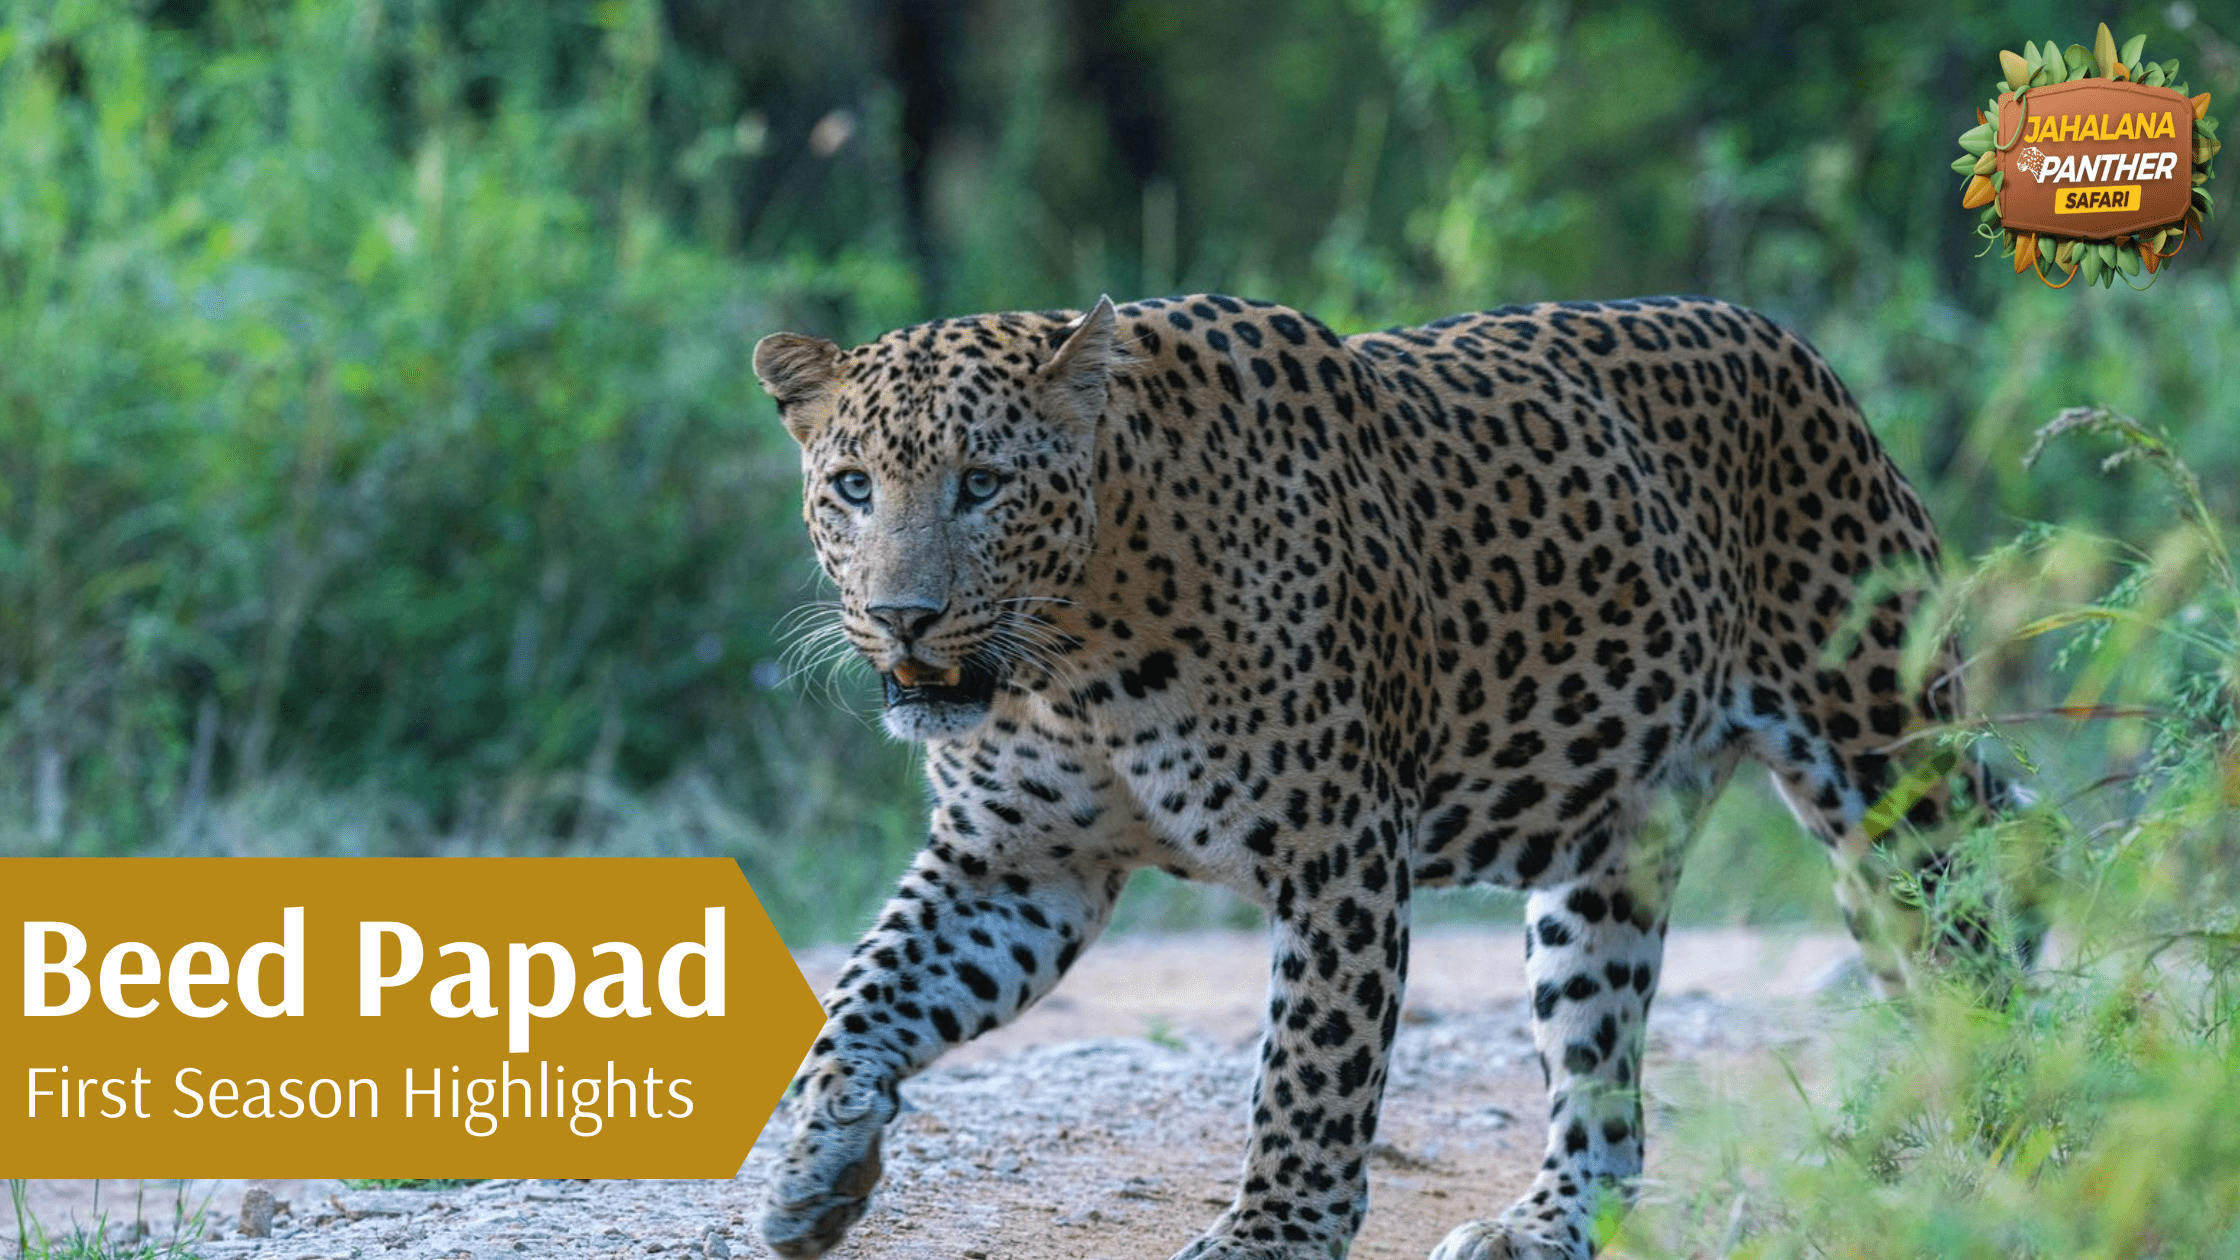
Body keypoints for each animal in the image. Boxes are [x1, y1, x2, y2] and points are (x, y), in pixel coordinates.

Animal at [750, 292, 2025, 1260]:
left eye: (982, 483)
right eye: (853, 486)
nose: (900, 617)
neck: (1077, 654)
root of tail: (1788, 344)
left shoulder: (1337, 853)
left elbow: (1309, 1073)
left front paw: (1267, 1239)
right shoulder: (1014, 866)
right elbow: (863, 995)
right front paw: (814, 1166)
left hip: (1888, 777)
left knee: (1977, 968)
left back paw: (2009, 1153)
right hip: (1602, 864)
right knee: (1602, 1089)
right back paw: (1535, 1226)